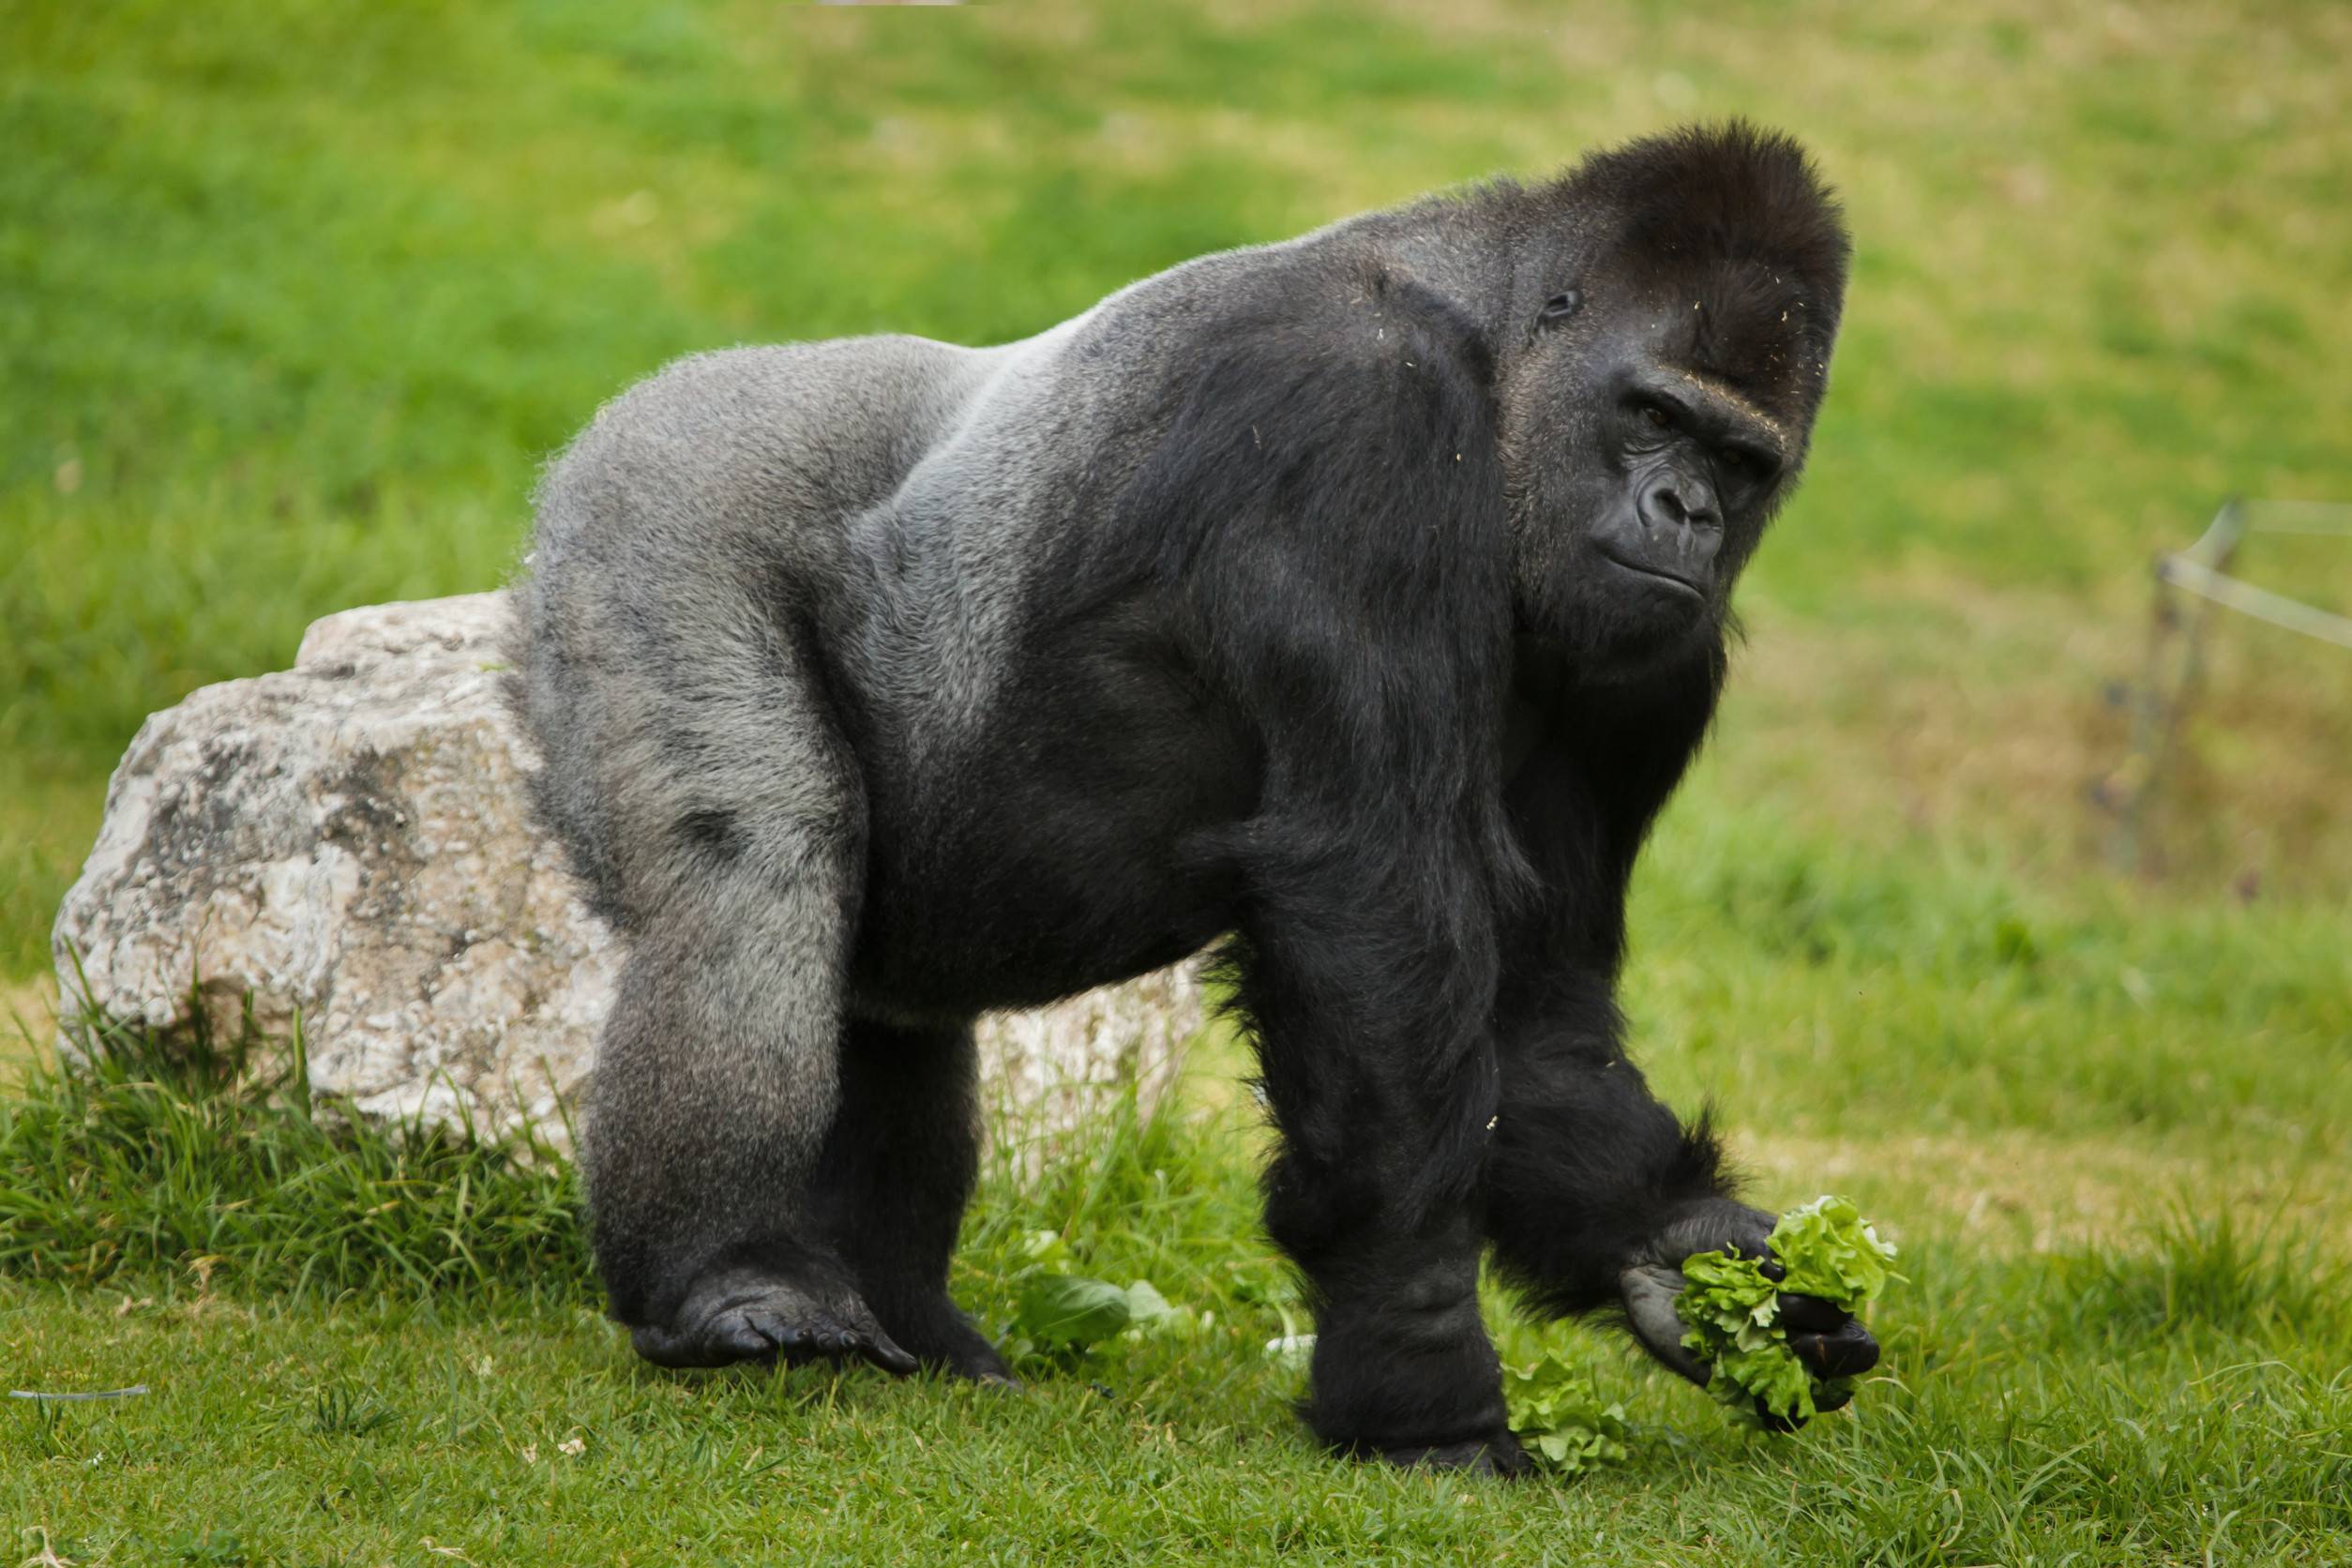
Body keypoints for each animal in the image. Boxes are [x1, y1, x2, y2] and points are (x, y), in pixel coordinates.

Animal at [509, 120, 1874, 1474]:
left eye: (1740, 459)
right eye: (1652, 415)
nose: (1687, 511)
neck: (1493, 359)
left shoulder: (1658, 658)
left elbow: (1532, 994)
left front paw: (1679, 1254)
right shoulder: (1360, 415)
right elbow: (1374, 909)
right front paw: (1421, 1376)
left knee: (886, 1006)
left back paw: (910, 1318)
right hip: (656, 508)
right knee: (757, 869)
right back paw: (723, 1276)